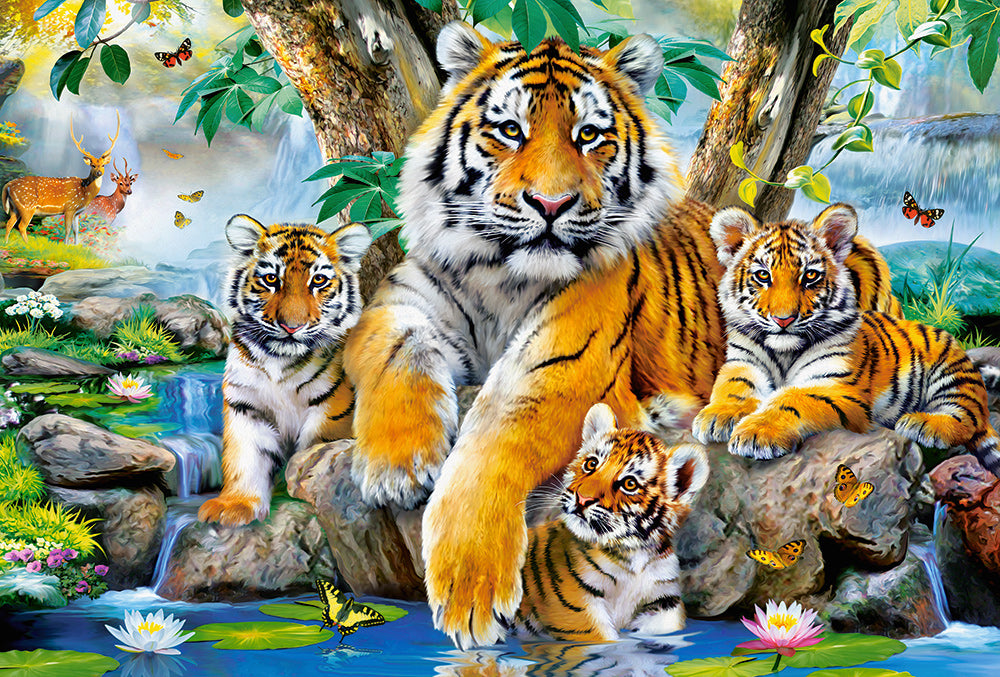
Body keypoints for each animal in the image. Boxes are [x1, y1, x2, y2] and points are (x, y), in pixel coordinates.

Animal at [198, 214, 371, 526]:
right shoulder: (246, 406)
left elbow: (316, 447)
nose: (292, 326)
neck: (280, 362)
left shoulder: (332, 408)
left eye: (318, 280)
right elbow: (247, 457)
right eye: (271, 279)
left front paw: (304, 485)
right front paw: (234, 506)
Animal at [513, 403, 708, 642]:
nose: (582, 498)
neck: (633, 556)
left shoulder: (665, 602)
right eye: (591, 464)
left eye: (629, 484)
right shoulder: (576, 609)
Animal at [692, 203, 1000, 475]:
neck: (784, 352)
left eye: (810, 276)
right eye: (763, 276)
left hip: (951, 374)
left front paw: (757, 432)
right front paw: (717, 416)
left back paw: (920, 424)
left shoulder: (836, 386)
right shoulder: (743, 362)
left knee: (967, 419)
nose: (784, 319)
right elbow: (733, 386)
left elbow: (793, 398)